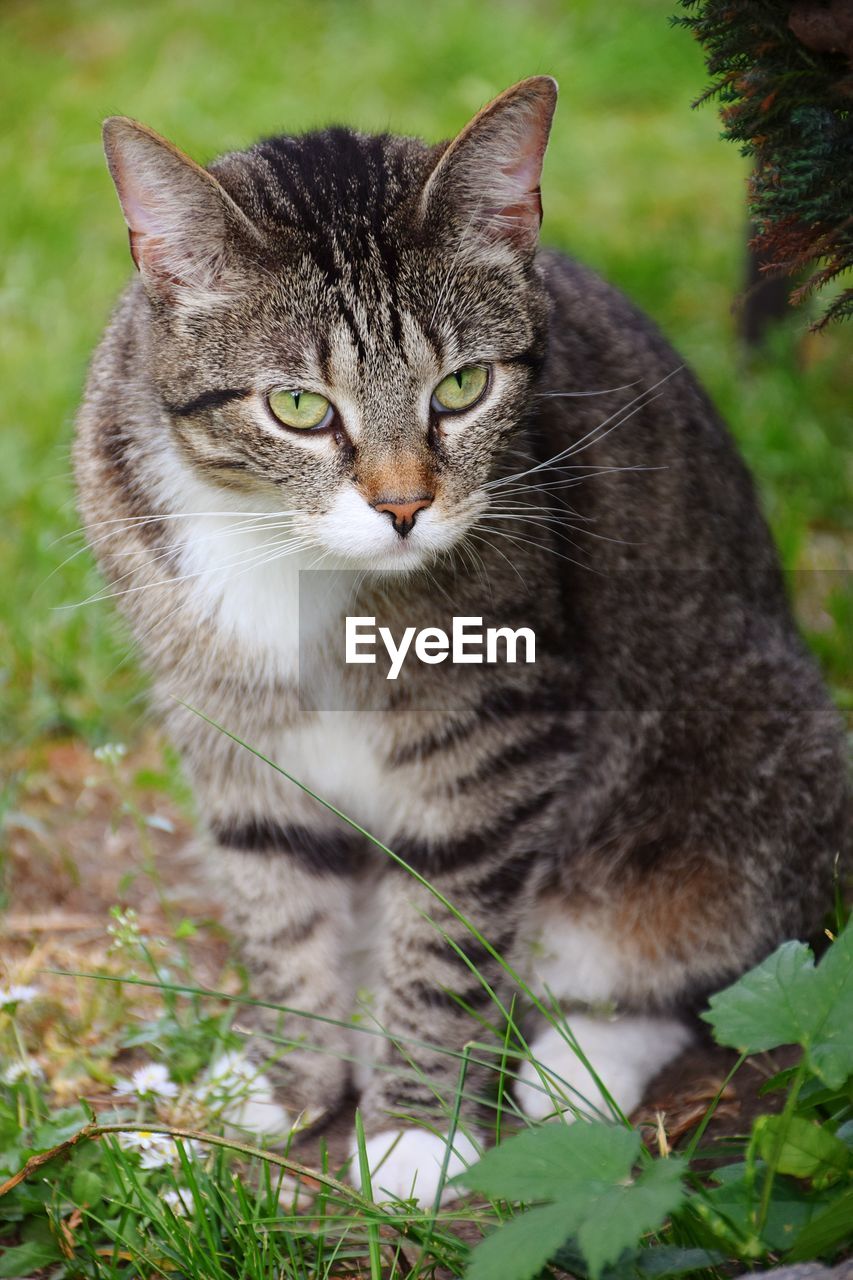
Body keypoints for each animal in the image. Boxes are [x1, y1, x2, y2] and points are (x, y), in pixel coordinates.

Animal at [76, 77, 845, 1198]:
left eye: (462, 388)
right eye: (297, 406)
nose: (402, 507)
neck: (284, 548)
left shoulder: (498, 729)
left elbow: (445, 936)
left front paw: (411, 1134)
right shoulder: (229, 721)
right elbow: (276, 899)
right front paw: (282, 1080)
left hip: (746, 771)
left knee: (681, 970)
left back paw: (571, 1071)